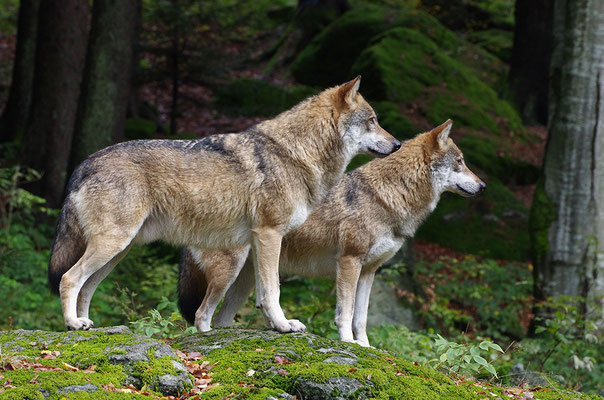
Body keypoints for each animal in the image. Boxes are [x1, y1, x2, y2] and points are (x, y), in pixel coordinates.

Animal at [48, 76, 402, 332]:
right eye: (373, 120)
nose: (398, 143)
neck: (296, 153)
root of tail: (84, 163)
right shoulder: (270, 234)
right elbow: (273, 291)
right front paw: (284, 325)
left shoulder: (259, 243)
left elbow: (261, 296)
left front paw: (274, 326)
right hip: (113, 245)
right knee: (69, 279)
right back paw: (72, 324)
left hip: (117, 253)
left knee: (86, 287)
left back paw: (87, 325)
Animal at [176, 119, 486, 346]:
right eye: (460, 162)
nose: (483, 186)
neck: (389, 197)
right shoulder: (349, 261)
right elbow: (345, 313)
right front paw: (348, 343)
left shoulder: (369, 271)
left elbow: (362, 317)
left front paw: (366, 347)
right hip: (228, 274)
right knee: (201, 315)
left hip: (247, 280)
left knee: (228, 317)